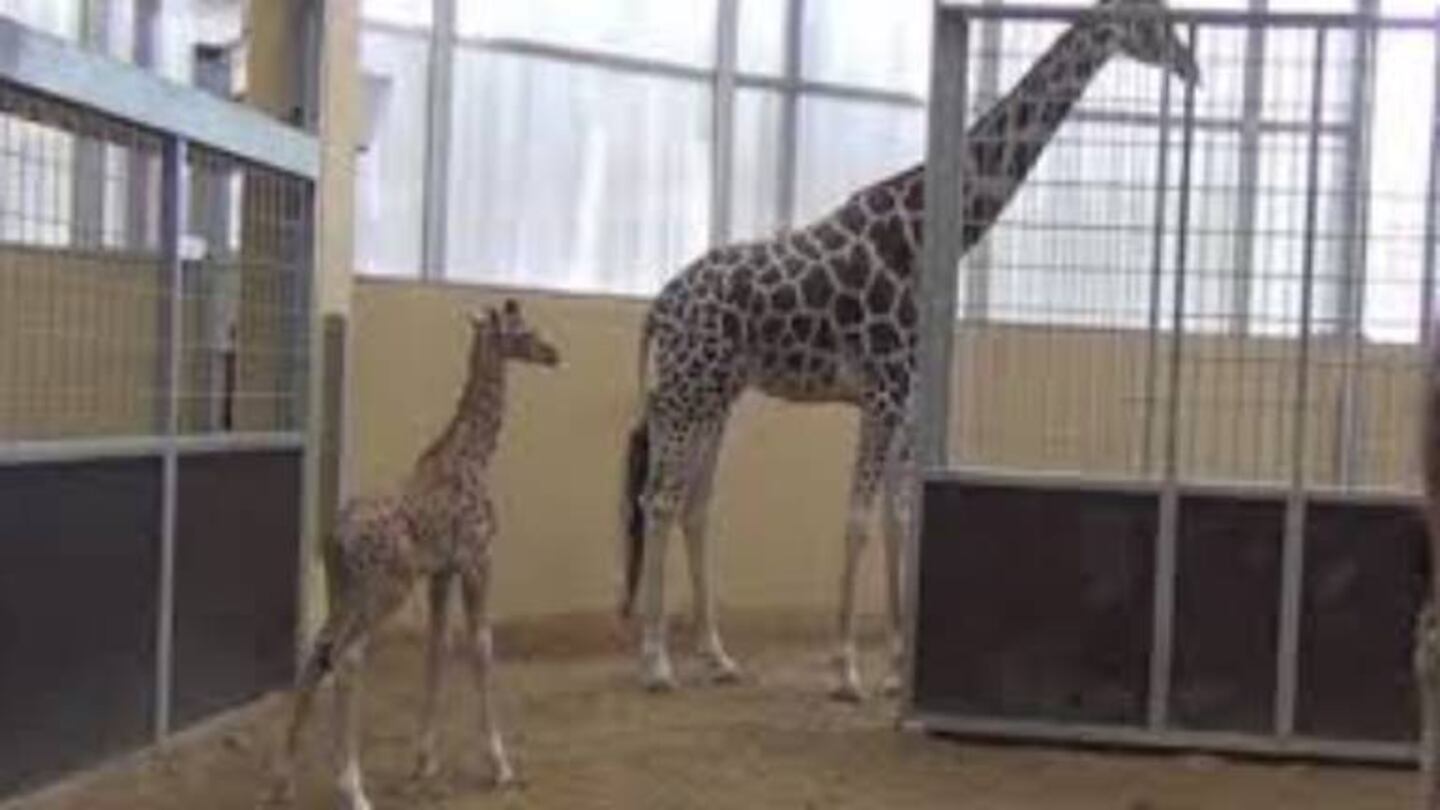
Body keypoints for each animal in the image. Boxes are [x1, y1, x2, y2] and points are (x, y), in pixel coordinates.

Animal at [267, 298, 558, 807]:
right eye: (522, 330)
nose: (553, 353)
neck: (475, 456)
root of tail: (337, 539)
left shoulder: (441, 572)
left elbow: (437, 646)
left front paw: (424, 762)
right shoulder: (478, 560)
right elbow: (482, 646)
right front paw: (501, 766)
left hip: (345, 592)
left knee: (318, 653)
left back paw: (283, 782)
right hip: (387, 590)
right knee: (347, 657)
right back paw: (353, 788)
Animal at [624, 0, 1198, 694]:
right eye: (1156, 20)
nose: (1192, 66)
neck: (928, 235)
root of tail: (661, 303)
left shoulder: (910, 397)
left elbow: (900, 518)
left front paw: (899, 664)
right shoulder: (882, 392)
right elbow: (858, 518)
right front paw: (847, 668)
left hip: (715, 395)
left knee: (695, 505)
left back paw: (717, 655)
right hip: (688, 392)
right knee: (659, 499)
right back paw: (656, 662)